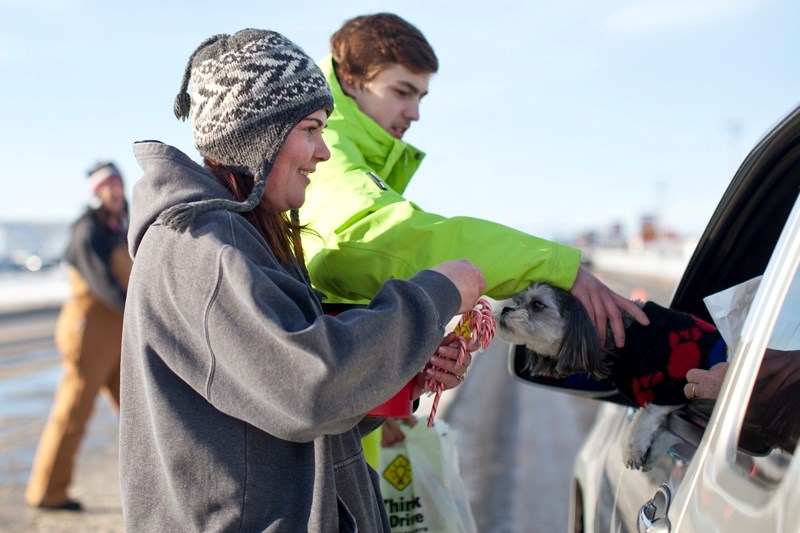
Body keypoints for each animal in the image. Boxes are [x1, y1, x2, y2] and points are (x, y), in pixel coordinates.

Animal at [494, 280, 724, 468]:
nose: (505, 308)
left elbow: (649, 414)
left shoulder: (676, 387)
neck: (625, 337)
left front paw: (637, 444)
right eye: (519, 300)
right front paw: (629, 446)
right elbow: (640, 416)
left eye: (538, 305)